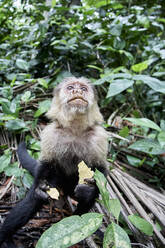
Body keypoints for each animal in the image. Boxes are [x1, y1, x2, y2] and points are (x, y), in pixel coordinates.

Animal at [0, 76, 109, 247]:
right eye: (70, 87)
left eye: (83, 89)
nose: (77, 91)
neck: (75, 129)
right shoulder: (51, 133)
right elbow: (46, 163)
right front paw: (40, 187)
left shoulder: (99, 137)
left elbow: (101, 170)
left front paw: (90, 188)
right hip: (58, 183)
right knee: (33, 200)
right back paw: (5, 236)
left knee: (85, 201)